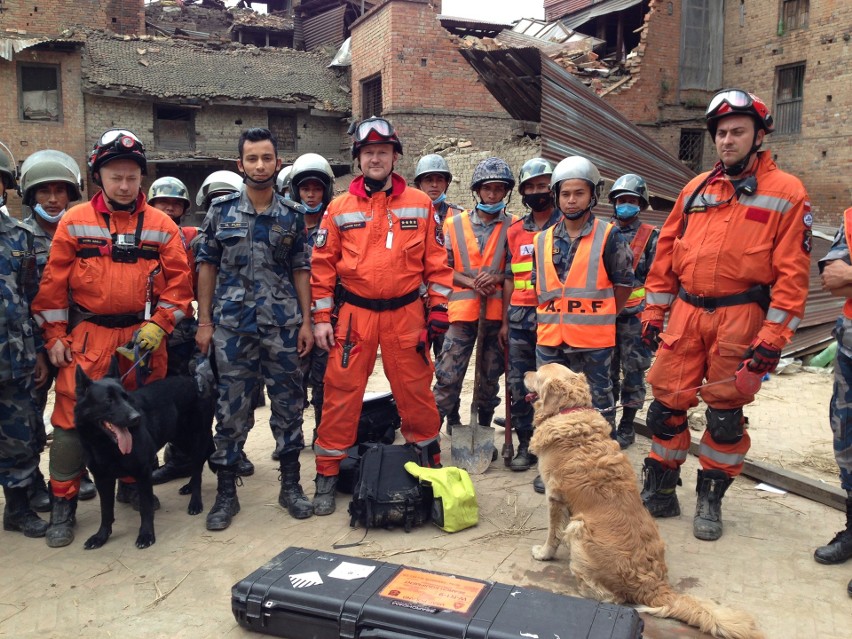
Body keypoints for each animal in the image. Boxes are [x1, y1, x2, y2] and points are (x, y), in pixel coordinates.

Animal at [74, 360, 213, 552]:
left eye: (126, 397)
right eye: (108, 400)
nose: (136, 418)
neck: (105, 444)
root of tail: (194, 380)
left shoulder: (143, 473)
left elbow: (146, 508)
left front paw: (146, 535)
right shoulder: (102, 479)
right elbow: (106, 511)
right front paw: (101, 536)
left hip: (196, 439)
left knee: (199, 469)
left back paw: (195, 502)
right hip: (181, 441)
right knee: (199, 462)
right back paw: (189, 486)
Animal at [524, 364, 764, 639]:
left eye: (537, 373)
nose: (524, 374)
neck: (569, 412)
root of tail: (654, 584)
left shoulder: (554, 497)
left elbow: (553, 533)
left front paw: (544, 553)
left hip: (580, 528)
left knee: (611, 597)